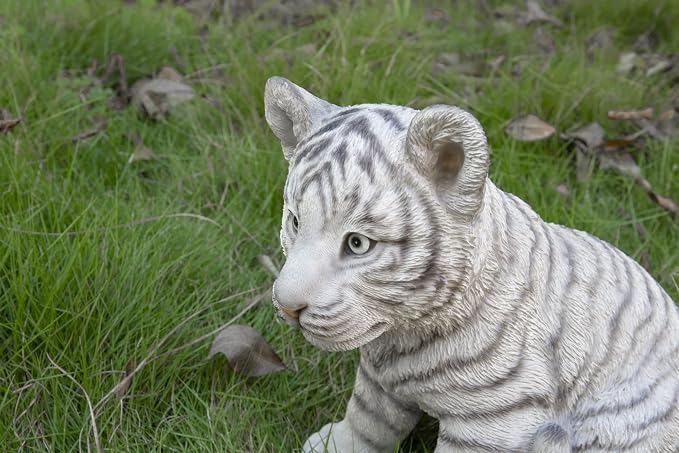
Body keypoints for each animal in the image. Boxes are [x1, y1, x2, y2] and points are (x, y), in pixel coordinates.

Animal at [263, 76, 679, 452]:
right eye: (295, 222)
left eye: (358, 244)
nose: (288, 305)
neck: (404, 333)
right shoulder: (379, 379)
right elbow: (368, 418)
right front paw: (333, 445)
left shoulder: (495, 419)